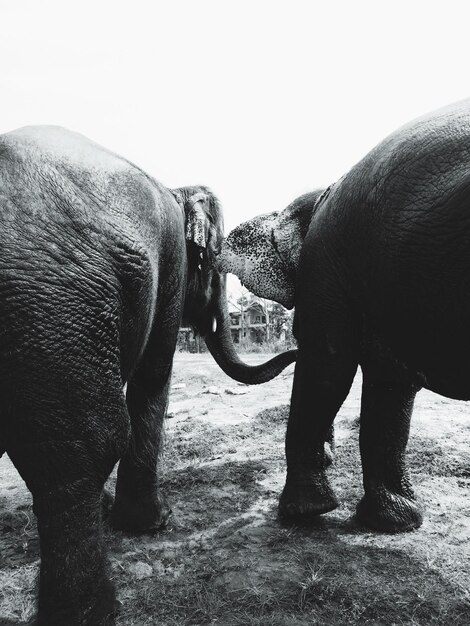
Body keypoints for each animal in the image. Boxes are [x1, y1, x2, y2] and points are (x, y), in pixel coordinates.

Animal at [0, 124, 296, 620]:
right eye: (215, 262)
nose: (295, 346)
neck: (179, 190)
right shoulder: (169, 263)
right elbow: (153, 376)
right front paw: (155, 523)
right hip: (56, 306)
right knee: (79, 450)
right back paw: (95, 611)